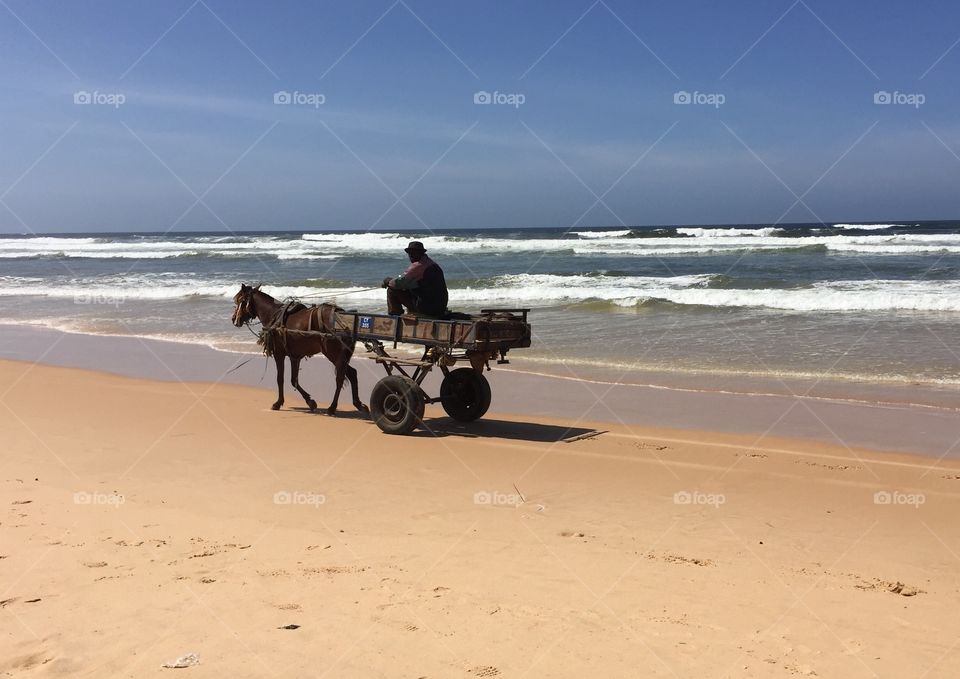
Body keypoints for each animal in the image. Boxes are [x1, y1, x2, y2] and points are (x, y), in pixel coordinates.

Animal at [231, 282, 370, 414]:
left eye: (240, 300)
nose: (234, 319)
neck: (274, 315)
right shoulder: (295, 357)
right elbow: (294, 380)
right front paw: (310, 401)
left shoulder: (279, 354)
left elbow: (280, 378)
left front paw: (278, 403)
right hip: (341, 356)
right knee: (352, 373)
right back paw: (358, 404)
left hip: (333, 354)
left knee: (340, 378)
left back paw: (332, 407)